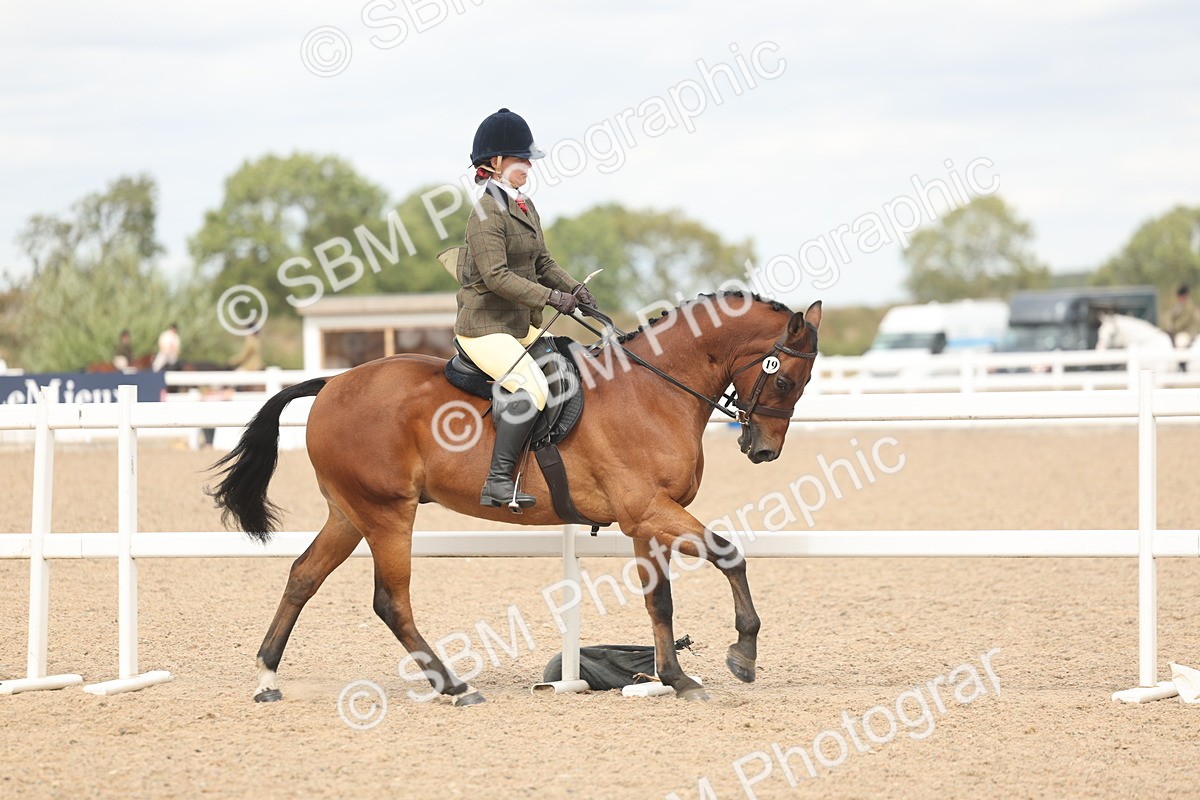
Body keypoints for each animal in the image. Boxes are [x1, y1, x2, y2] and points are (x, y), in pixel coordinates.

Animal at [209, 292, 823, 705]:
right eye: (785, 380)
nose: (763, 450)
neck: (654, 390)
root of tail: (333, 382)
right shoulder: (650, 510)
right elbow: (729, 554)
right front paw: (742, 655)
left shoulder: (647, 521)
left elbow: (660, 602)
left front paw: (674, 678)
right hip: (386, 514)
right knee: (390, 601)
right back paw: (453, 685)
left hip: (348, 513)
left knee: (303, 575)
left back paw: (268, 677)